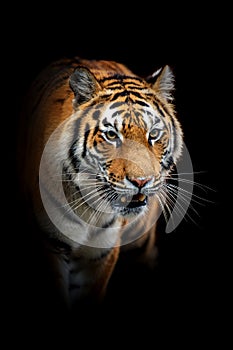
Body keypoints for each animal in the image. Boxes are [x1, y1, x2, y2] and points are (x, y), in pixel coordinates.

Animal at [17, 56, 184, 310]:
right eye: (112, 135)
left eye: (153, 134)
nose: (141, 181)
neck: (88, 209)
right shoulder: (48, 244)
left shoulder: (101, 254)